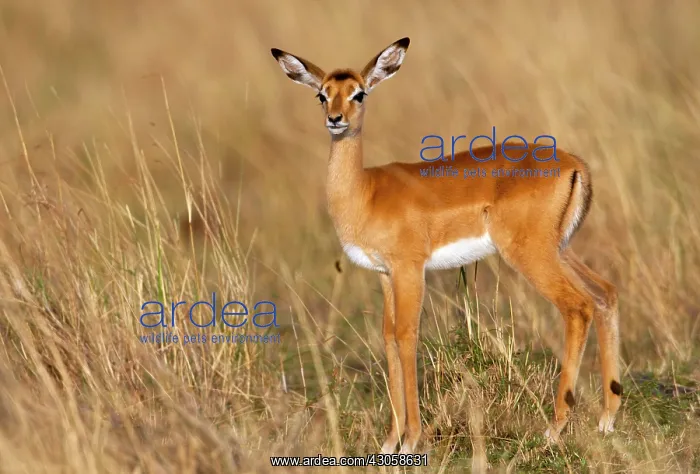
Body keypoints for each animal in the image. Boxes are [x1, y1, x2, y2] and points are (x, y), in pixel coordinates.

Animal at [271, 37, 622, 454]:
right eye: (322, 95)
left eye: (359, 93)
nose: (335, 119)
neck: (364, 193)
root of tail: (575, 165)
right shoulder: (385, 275)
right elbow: (388, 338)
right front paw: (389, 442)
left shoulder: (409, 269)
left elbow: (407, 336)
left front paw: (411, 441)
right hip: (560, 249)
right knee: (605, 293)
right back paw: (606, 420)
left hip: (531, 255)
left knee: (578, 307)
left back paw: (554, 429)